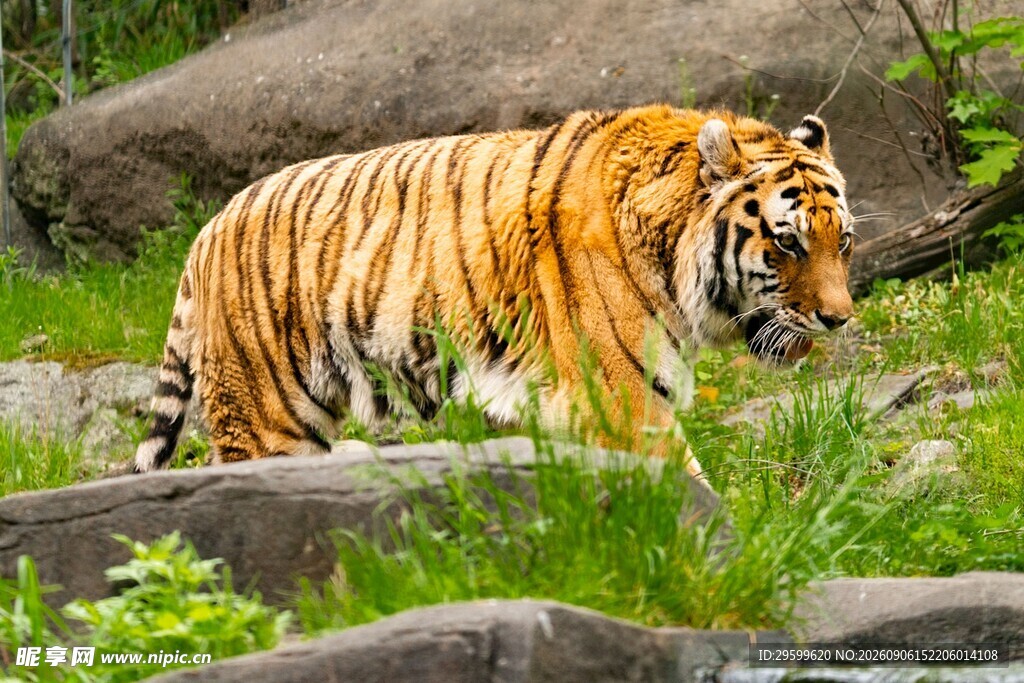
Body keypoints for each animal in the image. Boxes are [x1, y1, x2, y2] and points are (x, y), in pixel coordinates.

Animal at [133, 104, 854, 479]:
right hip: (268, 419)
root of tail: (206, 230)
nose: (840, 319)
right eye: (788, 243)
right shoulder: (619, 396)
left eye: (842, 241)